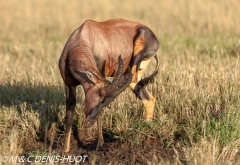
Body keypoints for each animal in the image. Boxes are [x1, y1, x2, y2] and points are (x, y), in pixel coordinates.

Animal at [58, 18, 159, 152]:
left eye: (103, 101)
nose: (88, 123)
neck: (83, 36)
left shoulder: (102, 71)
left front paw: (99, 144)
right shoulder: (69, 85)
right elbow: (69, 115)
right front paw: (65, 149)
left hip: (136, 61)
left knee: (132, 76)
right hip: (135, 79)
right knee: (148, 99)